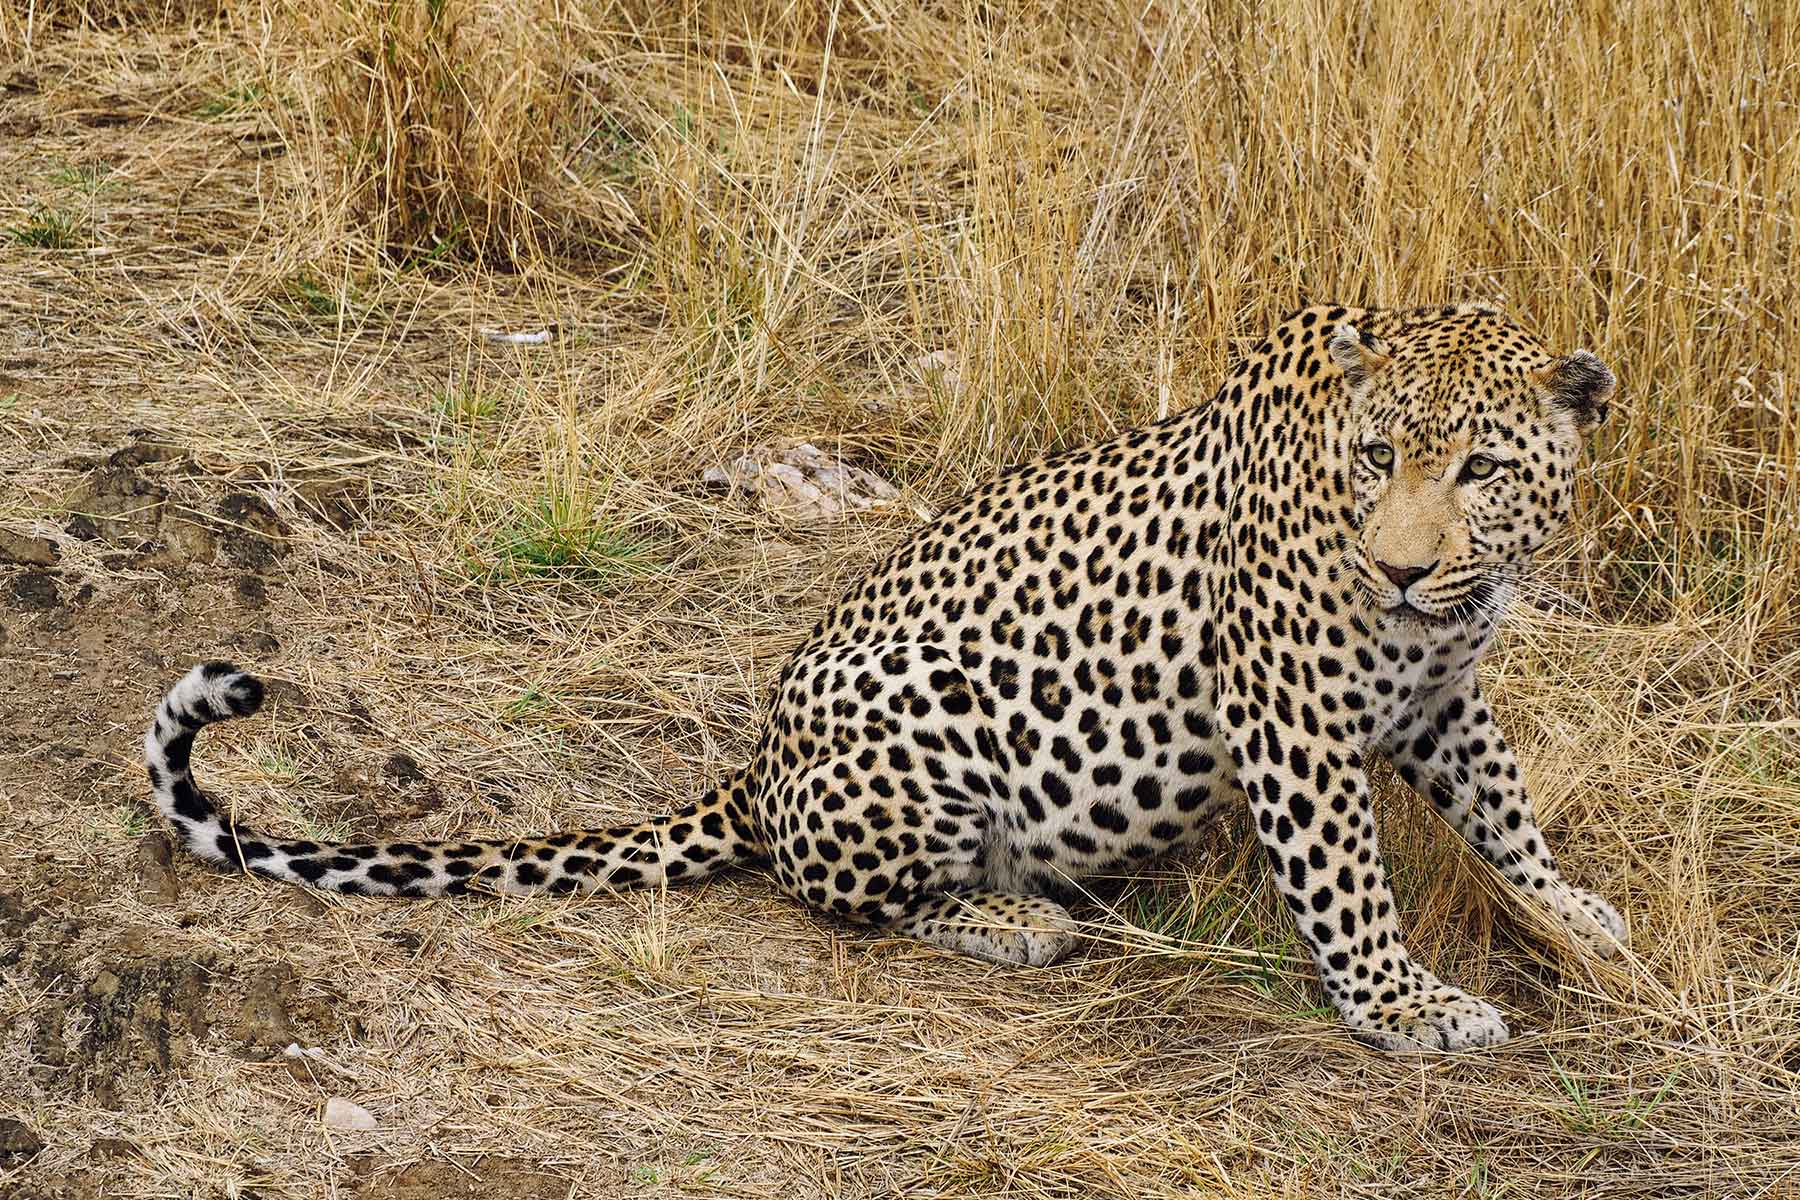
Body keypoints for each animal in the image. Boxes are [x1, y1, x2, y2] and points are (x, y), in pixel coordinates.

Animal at [146, 302, 1628, 1051]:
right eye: (1380, 456)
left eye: (1479, 468)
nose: (1396, 568)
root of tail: (751, 776)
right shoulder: (1295, 719)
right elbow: (1347, 881)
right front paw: (1407, 1007)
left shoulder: (1440, 690)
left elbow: (1503, 802)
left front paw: (1571, 911)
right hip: (938, 706)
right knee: (848, 896)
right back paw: (1008, 919)